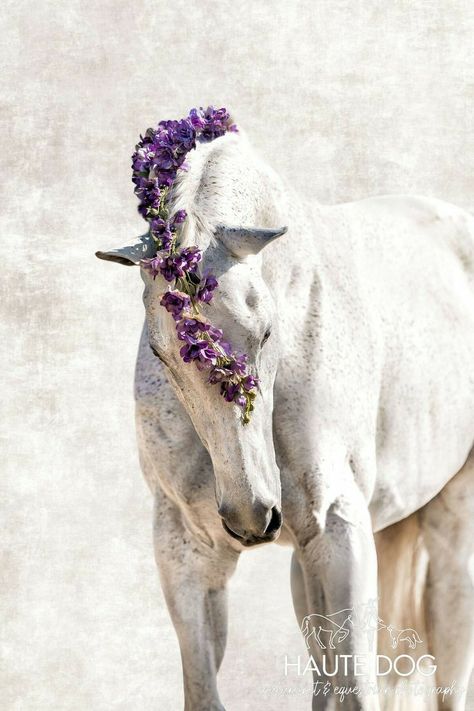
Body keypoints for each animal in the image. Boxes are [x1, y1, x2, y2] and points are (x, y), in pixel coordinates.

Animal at [97, 129, 474, 711]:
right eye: (161, 354)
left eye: (267, 332)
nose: (252, 516)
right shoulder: (186, 548)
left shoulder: (338, 529)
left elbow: (356, 688)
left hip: (447, 537)